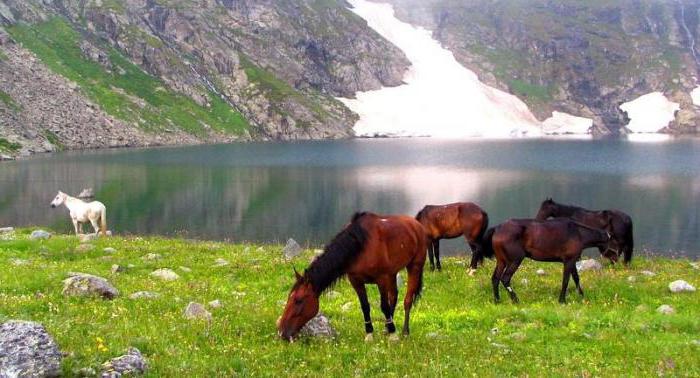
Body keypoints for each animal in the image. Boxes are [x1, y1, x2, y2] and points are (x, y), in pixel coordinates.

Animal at [278, 211, 430, 342]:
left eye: (298, 300)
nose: (281, 331)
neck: (361, 246)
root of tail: (416, 224)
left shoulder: (381, 279)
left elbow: (383, 306)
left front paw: (393, 335)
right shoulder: (356, 281)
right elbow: (365, 306)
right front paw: (370, 334)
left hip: (414, 266)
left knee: (407, 300)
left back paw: (404, 331)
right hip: (392, 273)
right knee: (393, 296)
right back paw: (387, 328)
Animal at [482, 219, 612, 304]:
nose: (614, 260)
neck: (578, 233)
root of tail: (497, 228)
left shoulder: (572, 261)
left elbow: (576, 278)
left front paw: (581, 296)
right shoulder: (568, 261)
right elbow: (566, 280)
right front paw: (562, 300)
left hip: (501, 261)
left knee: (495, 278)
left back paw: (497, 300)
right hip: (515, 260)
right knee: (505, 279)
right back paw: (515, 300)